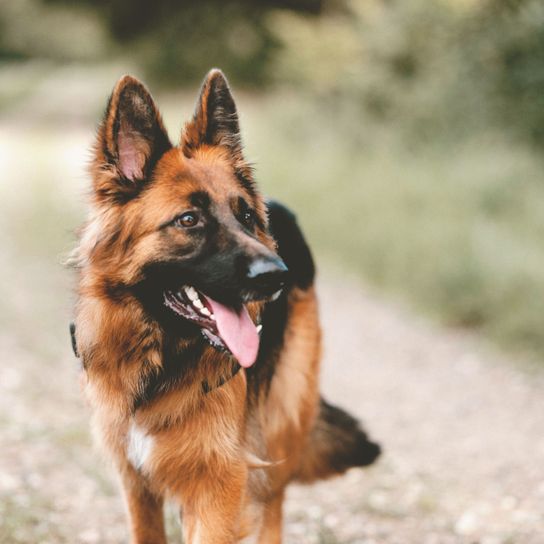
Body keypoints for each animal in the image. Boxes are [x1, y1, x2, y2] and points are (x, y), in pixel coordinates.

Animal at [70, 69, 380, 544]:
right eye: (188, 220)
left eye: (246, 217)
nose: (277, 276)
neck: (161, 364)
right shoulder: (137, 483)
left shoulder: (219, 485)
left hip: (279, 423)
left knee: (273, 503)